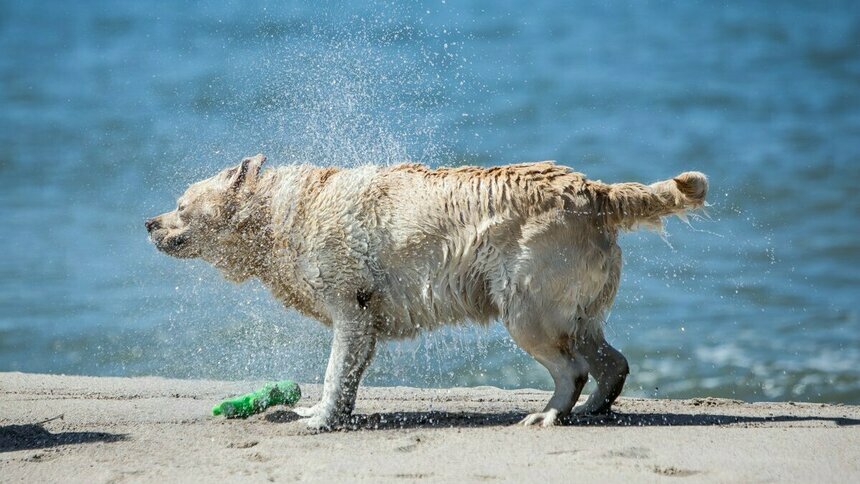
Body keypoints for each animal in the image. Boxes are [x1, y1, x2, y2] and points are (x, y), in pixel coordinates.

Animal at [148, 154, 708, 428]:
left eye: (181, 204)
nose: (149, 223)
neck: (277, 217)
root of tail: (595, 192)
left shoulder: (349, 303)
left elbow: (333, 370)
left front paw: (317, 419)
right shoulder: (364, 319)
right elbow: (347, 374)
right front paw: (327, 413)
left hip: (526, 305)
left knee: (570, 366)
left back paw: (550, 413)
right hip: (575, 304)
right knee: (609, 358)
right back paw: (593, 408)